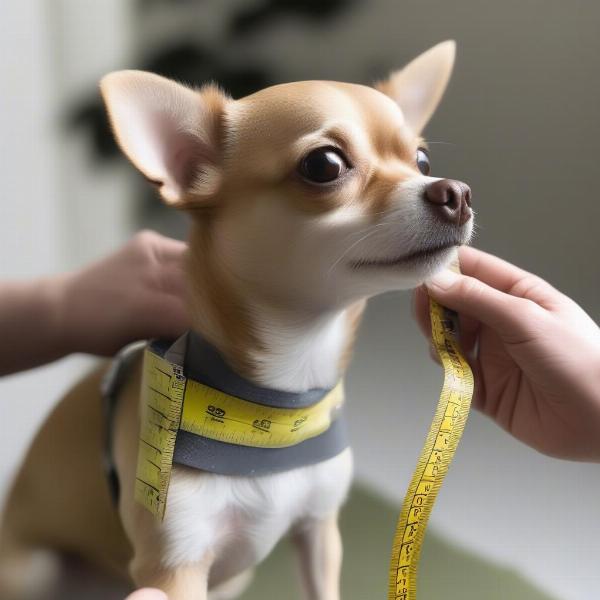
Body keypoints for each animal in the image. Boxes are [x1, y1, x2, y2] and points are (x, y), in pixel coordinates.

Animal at [0, 39, 474, 596]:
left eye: (422, 160)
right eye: (324, 165)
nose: (455, 192)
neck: (281, 400)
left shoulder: (318, 531)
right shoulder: (176, 566)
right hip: (35, 567)